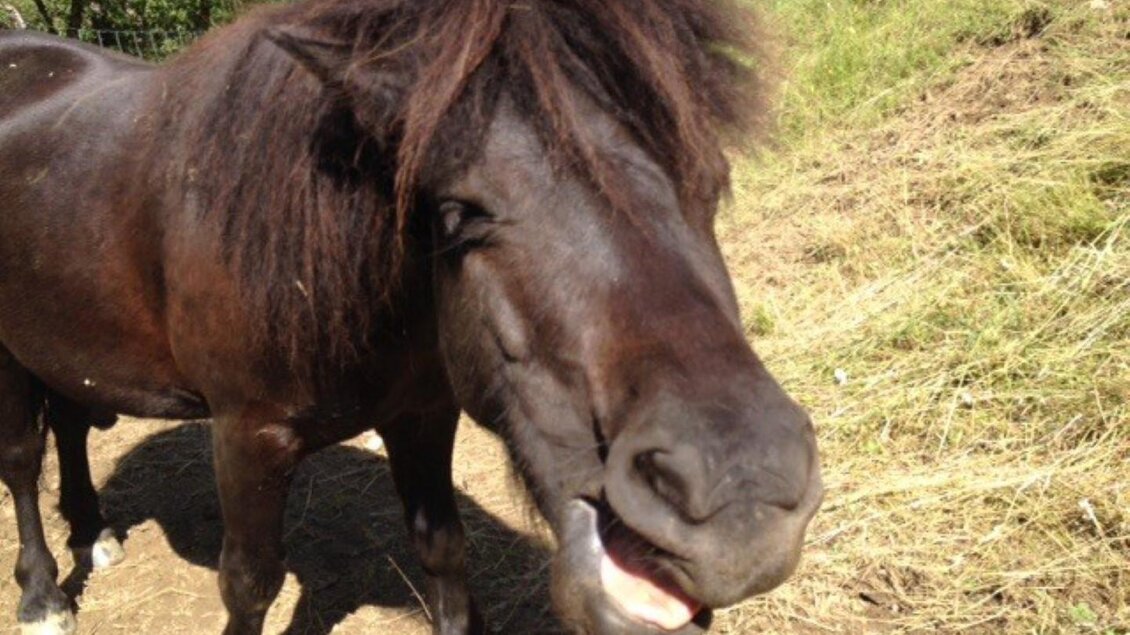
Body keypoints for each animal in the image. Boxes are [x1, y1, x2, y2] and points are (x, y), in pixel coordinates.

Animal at [0, 0, 823, 633]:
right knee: (21, 461)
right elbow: (251, 583)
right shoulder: (245, 435)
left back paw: (93, 530)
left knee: (69, 420)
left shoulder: (422, 412)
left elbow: (442, 550)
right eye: (457, 214)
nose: (744, 492)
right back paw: (42, 594)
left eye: (712, 180)